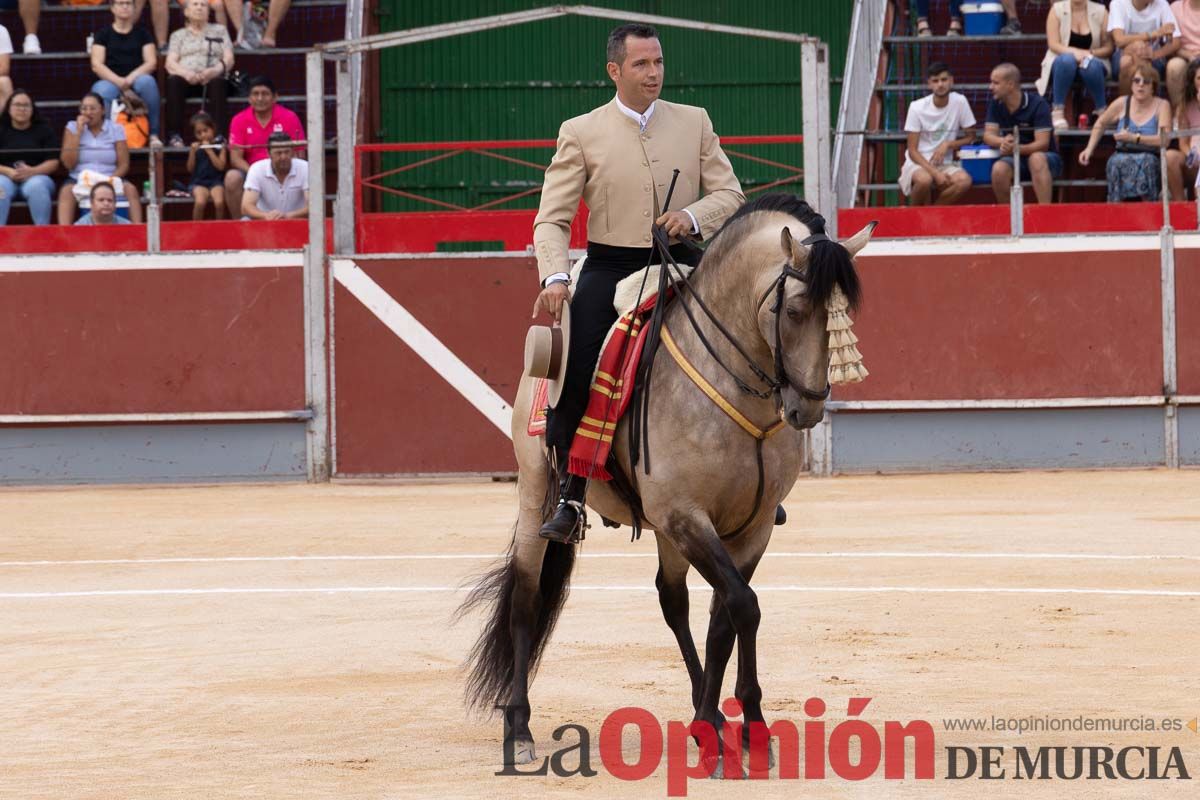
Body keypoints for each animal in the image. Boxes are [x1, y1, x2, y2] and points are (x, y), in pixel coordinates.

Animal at [458, 191, 873, 762]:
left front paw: (743, 727)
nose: (807, 409)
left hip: (664, 532)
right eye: (792, 310)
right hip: (536, 491)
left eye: (842, 313)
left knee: (673, 602)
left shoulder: (749, 526)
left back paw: (708, 711)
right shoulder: (684, 516)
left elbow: (726, 617)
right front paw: (733, 730)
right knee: (526, 597)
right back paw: (519, 729)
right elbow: (742, 606)